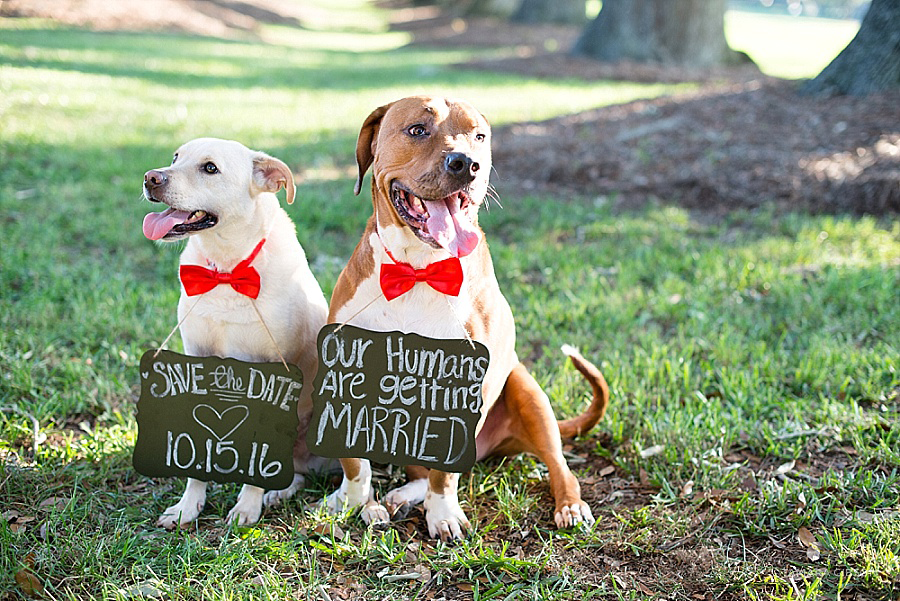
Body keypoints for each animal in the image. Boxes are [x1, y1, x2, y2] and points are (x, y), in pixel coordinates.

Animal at [143, 138, 330, 528]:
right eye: (175, 158)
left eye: (210, 168)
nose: (151, 178)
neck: (228, 269)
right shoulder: (195, 363)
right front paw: (188, 506)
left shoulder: (273, 376)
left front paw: (247, 506)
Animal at [320, 97, 608, 540]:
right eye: (417, 129)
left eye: (479, 136)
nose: (466, 163)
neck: (419, 269)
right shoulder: (342, 375)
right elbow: (354, 463)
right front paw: (352, 502)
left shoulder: (471, 385)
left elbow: (444, 474)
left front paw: (443, 514)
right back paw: (393, 499)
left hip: (528, 394)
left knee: (559, 465)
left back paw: (570, 506)